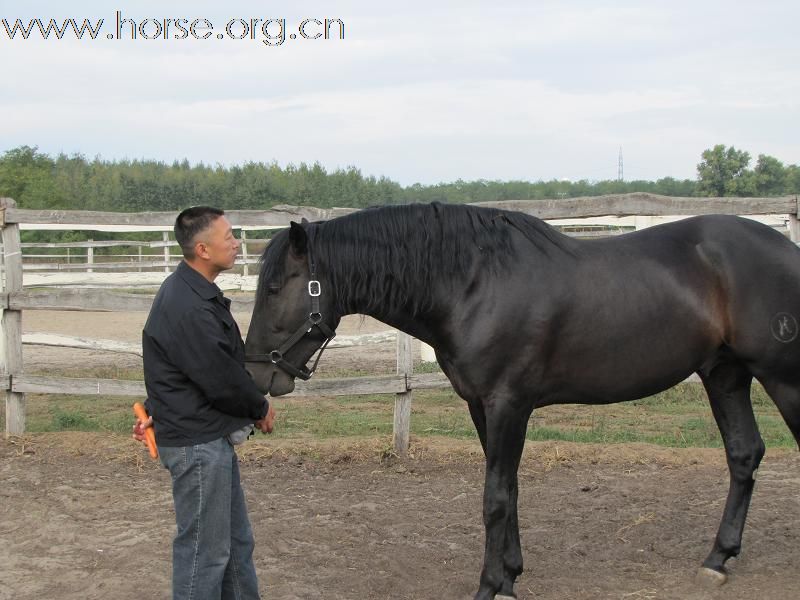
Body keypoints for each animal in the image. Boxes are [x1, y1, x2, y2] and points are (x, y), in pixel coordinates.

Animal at [244, 203, 800, 600]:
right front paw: (510, 576)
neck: (473, 283)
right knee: (744, 454)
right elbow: (506, 490)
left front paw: (490, 585)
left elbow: (494, 497)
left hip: (781, 378)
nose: (257, 374)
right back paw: (717, 559)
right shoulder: (481, 405)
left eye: (273, 288)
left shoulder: (509, 403)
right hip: (725, 373)